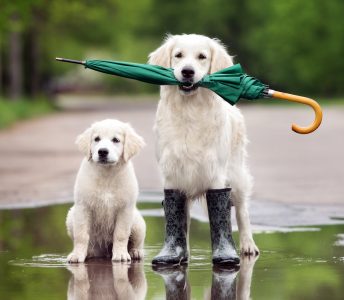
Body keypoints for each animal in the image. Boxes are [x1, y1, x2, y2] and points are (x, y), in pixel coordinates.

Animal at [66, 119, 146, 262]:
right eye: (96, 139)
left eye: (116, 140)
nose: (102, 151)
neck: (107, 174)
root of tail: (104, 253)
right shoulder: (83, 206)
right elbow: (81, 235)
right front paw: (77, 255)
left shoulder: (125, 208)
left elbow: (121, 234)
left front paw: (121, 254)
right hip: (71, 216)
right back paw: (88, 253)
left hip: (137, 222)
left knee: (137, 241)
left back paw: (135, 252)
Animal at [149, 34, 260, 266]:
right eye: (178, 55)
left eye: (202, 57)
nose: (187, 72)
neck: (190, 110)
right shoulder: (172, 173)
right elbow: (177, 217)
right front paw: (175, 253)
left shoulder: (215, 172)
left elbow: (223, 211)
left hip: (236, 175)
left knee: (242, 211)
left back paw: (248, 246)